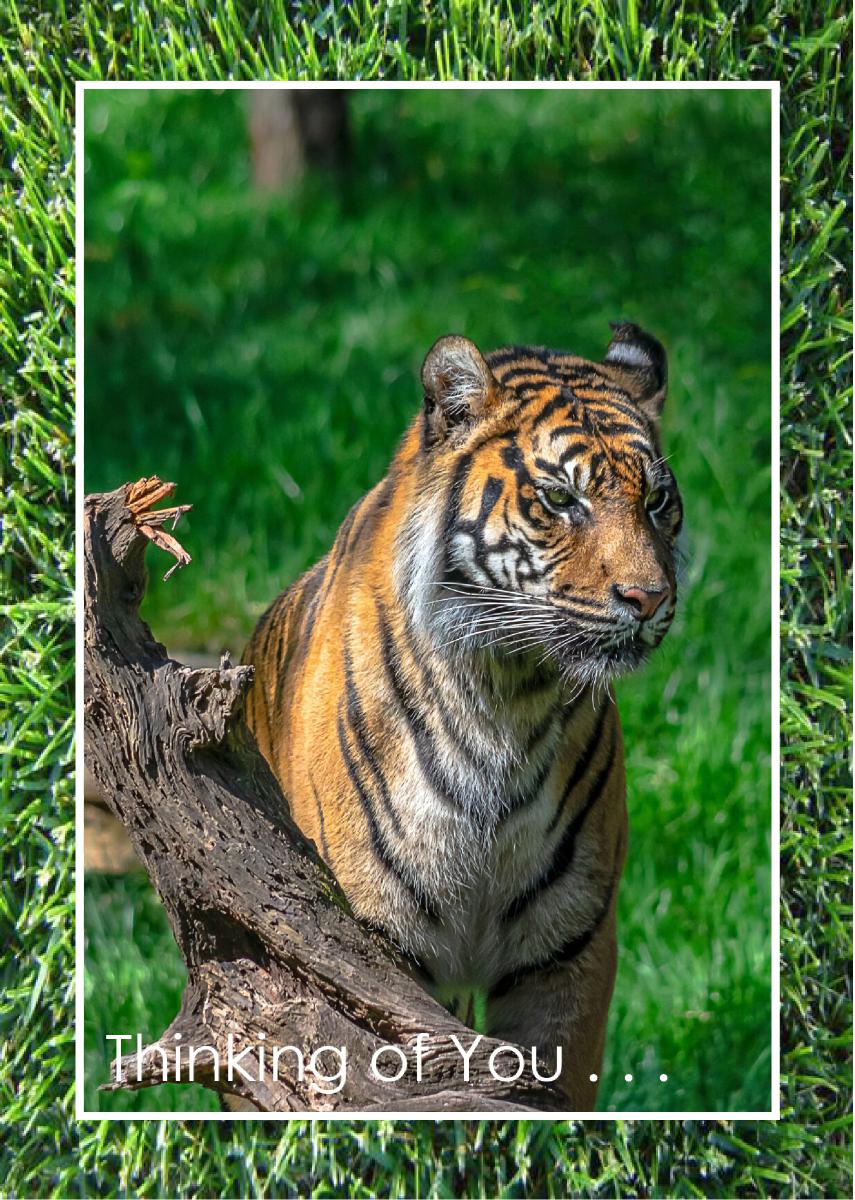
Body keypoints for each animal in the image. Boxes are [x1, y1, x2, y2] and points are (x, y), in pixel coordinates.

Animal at [243, 321, 682, 1110]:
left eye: (658, 499)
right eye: (560, 498)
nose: (649, 597)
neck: (508, 692)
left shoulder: (566, 950)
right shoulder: (377, 950)